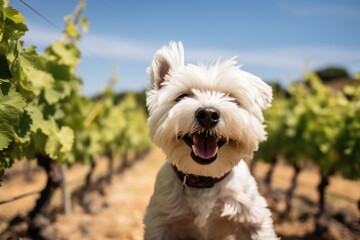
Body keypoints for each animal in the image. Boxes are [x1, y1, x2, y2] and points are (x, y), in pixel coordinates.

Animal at [143, 42, 278, 239]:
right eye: (182, 96)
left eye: (232, 99)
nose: (208, 114)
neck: (205, 180)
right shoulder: (160, 221)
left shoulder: (254, 219)